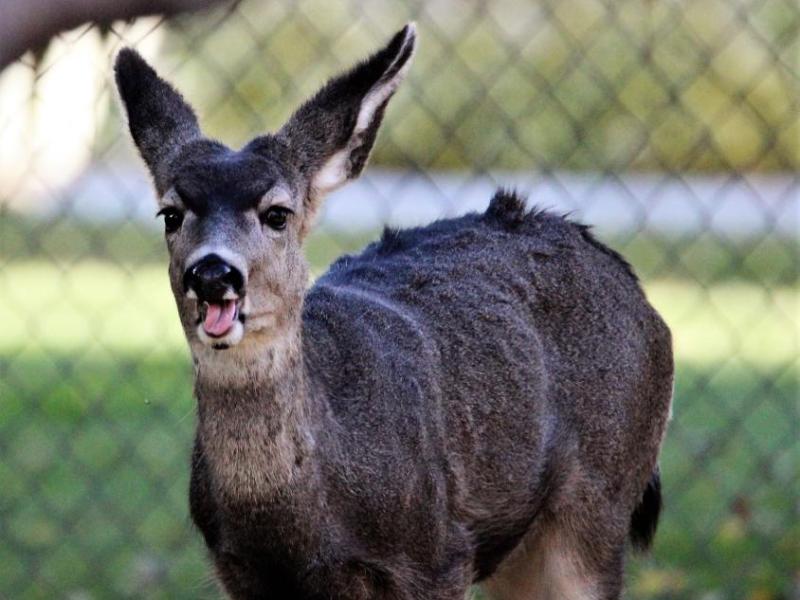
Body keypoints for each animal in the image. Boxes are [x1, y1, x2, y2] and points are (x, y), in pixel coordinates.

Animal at [113, 23, 673, 600]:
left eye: (277, 213)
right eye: (170, 214)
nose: (212, 274)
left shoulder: (438, 556)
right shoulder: (239, 572)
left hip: (601, 498)